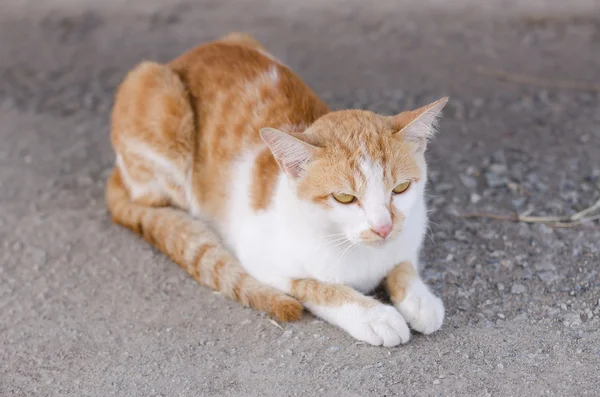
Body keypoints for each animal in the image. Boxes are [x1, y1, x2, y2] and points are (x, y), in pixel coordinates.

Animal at [106, 32, 446, 344]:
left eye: (400, 188)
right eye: (345, 197)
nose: (383, 228)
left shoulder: (408, 232)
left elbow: (403, 262)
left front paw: (420, 299)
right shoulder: (260, 259)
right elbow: (316, 286)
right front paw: (374, 315)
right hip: (156, 97)